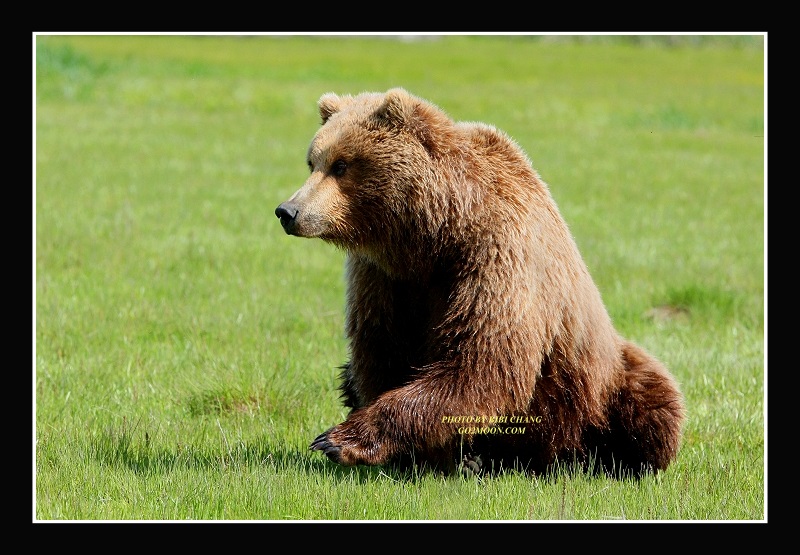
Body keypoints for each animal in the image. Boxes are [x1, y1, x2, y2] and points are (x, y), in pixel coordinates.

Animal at [275, 88, 685, 478]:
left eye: (341, 164)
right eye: (313, 162)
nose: (288, 211)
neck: (434, 236)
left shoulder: (495, 258)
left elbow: (482, 364)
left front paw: (340, 440)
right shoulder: (386, 279)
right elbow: (381, 352)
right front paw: (433, 456)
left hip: (593, 380)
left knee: (653, 401)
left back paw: (607, 461)